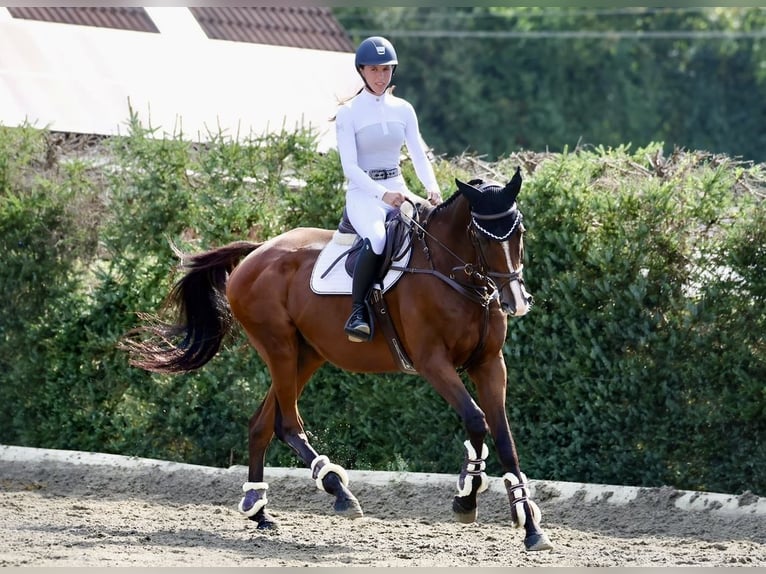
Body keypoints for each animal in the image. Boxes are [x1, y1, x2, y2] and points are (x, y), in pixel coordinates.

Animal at [127, 169, 560, 556]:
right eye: (481, 236)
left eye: (519, 232)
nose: (516, 302)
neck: (455, 275)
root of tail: (259, 251)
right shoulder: (432, 362)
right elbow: (475, 420)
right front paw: (466, 498)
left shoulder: (489, 364)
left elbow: (504, 438)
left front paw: (530, 525)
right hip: (281, 348)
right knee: (286, 423)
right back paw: (338, 492)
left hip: (306, 355)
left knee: (262, 423)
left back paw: (260, 511)